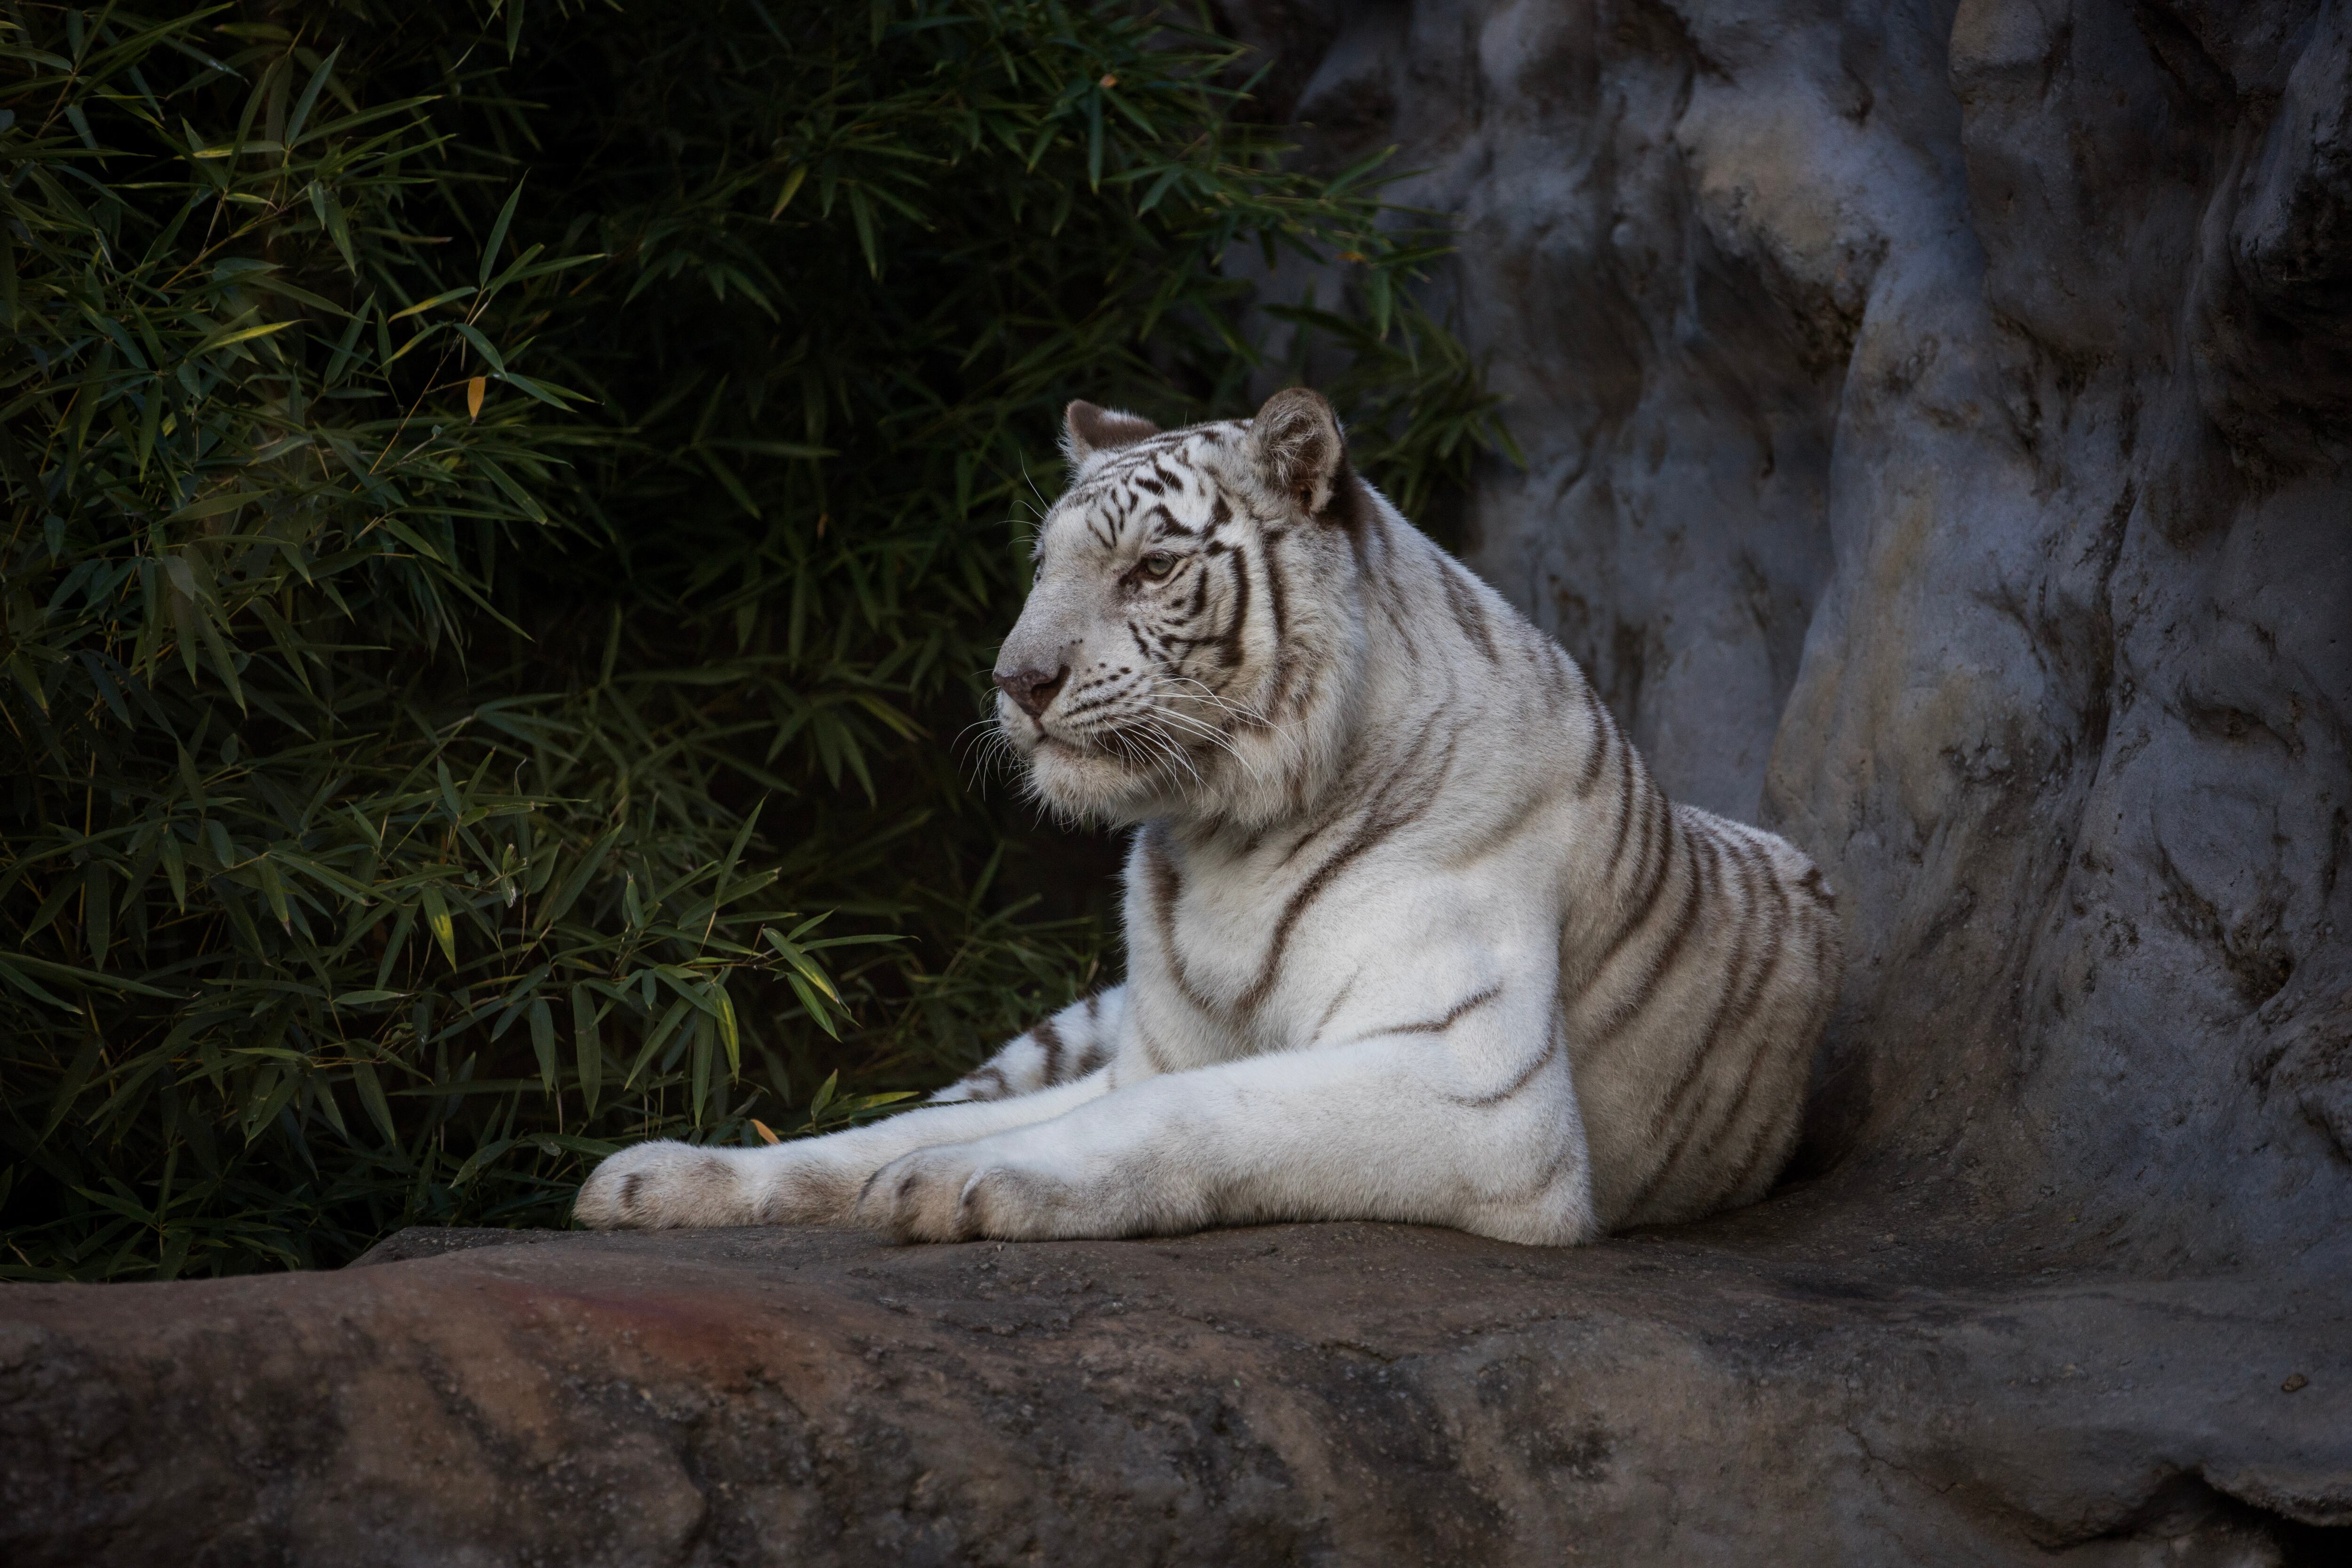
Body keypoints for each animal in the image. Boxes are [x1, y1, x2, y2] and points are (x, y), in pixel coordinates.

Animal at [574, 388, 1843, 1245]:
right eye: (1042, 565)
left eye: (1146, 571)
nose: (1016, 680)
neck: (1221, 834)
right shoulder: (1144, 1045)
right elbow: (880, 1136)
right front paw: (660, 1178)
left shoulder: (1473, 1086)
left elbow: (1195, 1109)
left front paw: (961, 1186)